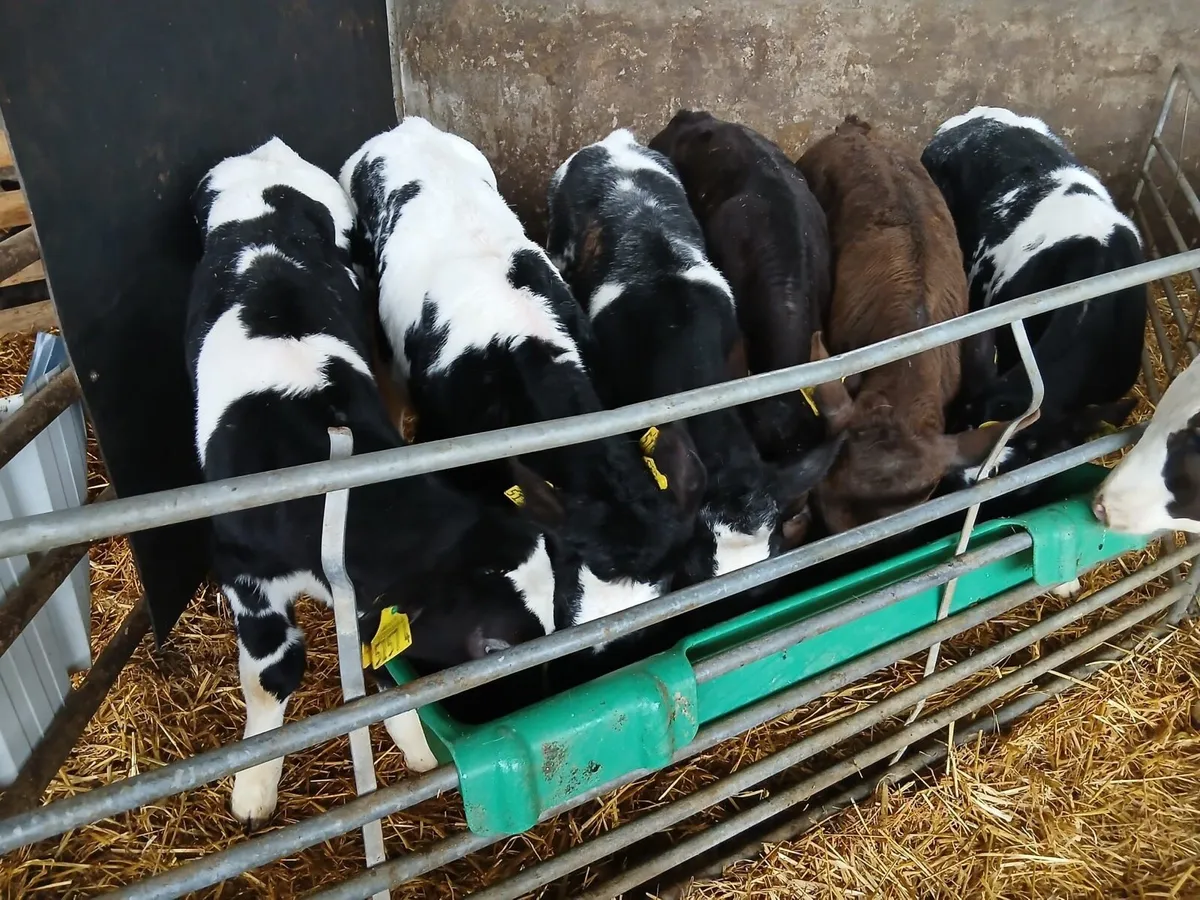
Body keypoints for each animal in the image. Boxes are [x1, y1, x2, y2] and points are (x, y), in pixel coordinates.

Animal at [189, 137, 557, 825]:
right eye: (492, 646)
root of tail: (267, 155)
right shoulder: (243, 573)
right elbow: (272, 675)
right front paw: (253, 789)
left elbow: (380, 675)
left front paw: (417, 754)